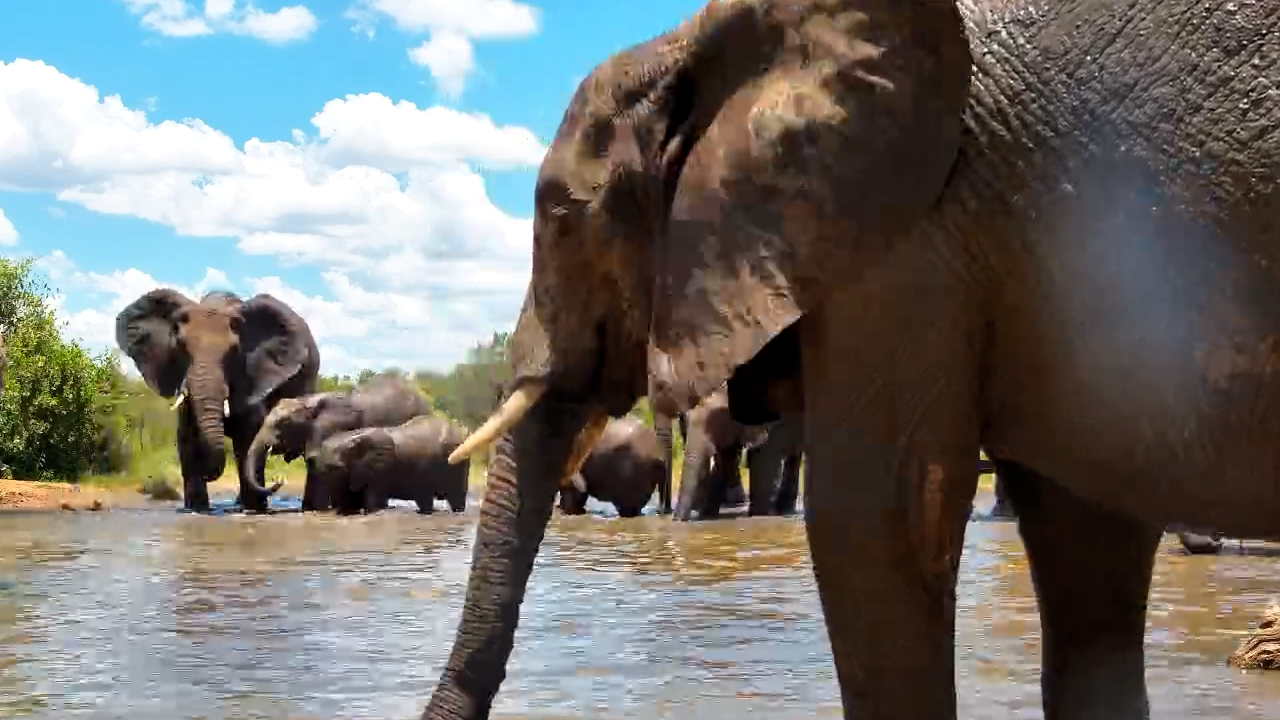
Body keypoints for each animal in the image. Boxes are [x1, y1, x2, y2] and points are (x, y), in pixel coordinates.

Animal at [116, 289, 318, 512]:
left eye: (232, 352)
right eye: (181, 348)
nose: (280, 480)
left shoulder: (252, 376)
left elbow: (248, 436)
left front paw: (253, 509)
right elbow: (186, 436)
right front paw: (196, 509)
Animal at [243, 374, 433, 510]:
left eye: (282, 423)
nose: (280, 479)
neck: (308, 402)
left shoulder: (330, 428)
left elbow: (319, 466)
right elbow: (313, 465)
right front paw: (309, 510)